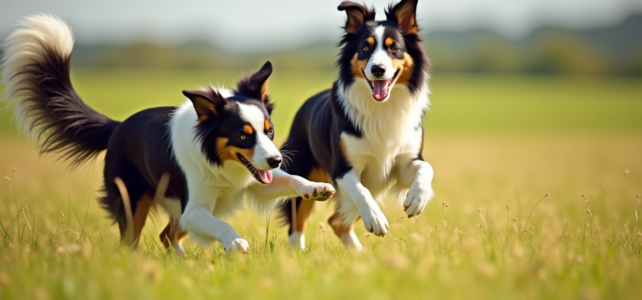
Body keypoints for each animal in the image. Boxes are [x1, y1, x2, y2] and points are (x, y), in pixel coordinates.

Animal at [2, 13, 336, 253]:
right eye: (243, 136)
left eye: (270, 131)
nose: (277, 160)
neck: (217, 158)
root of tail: (117, 126)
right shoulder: (195, 207)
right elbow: (222, 227)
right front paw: (235, 242)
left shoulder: (253, 181)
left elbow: (292, 180)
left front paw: (316, 188)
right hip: (134, 200)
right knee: (131, 241)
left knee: (166, 235)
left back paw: (180, 261)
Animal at [278, 0, 432, 251]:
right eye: (365, 48)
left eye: (394, 48)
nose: (378, 69)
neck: (381, 109)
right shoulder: (343, 168)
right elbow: (361, 192)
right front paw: (376, 220)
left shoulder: (405, 162)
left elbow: (426, 168)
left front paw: (417, 199)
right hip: (306, 176)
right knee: (297, 221)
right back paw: (296, 254)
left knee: (336, 220)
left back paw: (357, 253)